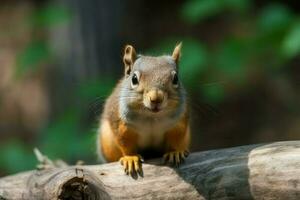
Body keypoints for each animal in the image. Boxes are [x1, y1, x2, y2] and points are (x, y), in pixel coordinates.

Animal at [96, 43, 190, 174]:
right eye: (134, 79)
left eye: (176, 78)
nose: (156, 98)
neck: (151, 116)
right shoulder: (122, 126)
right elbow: (125, 144)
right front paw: (130, 158)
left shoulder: (178, 124)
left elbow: (176, 139)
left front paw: (175, 152)